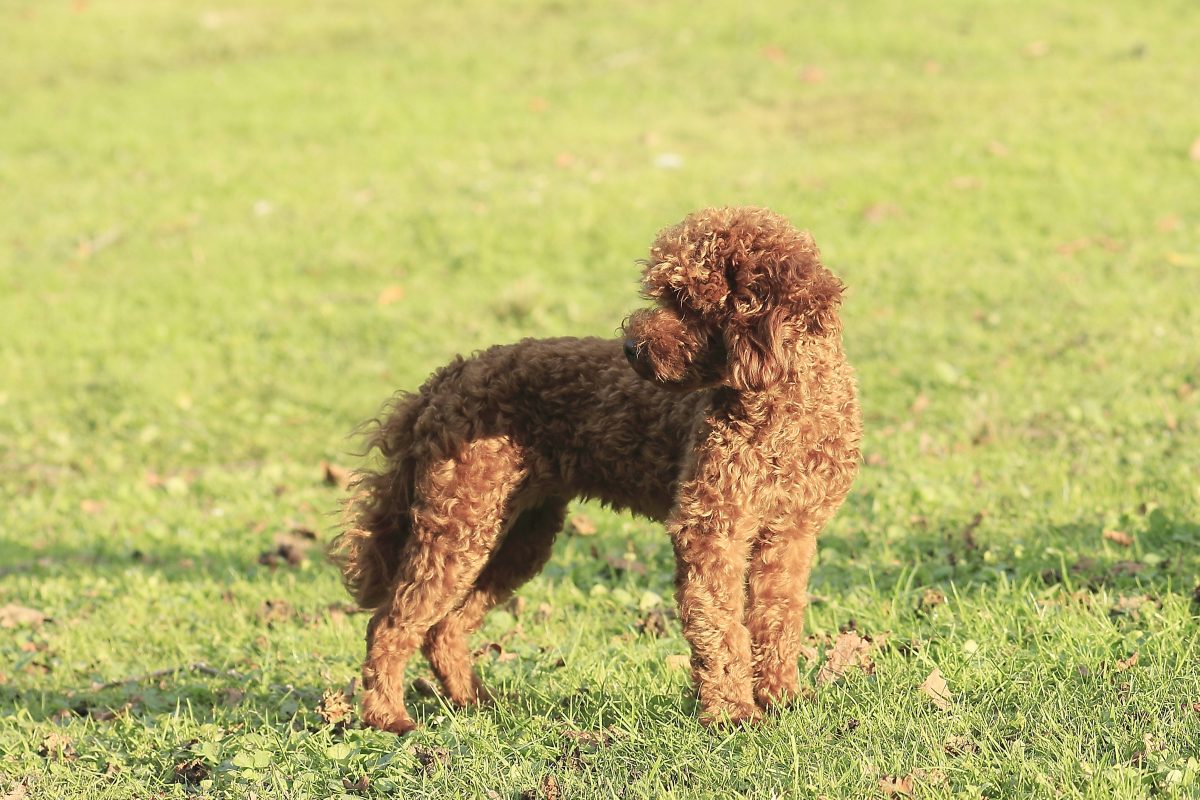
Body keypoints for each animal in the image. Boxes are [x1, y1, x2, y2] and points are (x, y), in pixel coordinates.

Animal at [328, 206, 864, 734]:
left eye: (687, 301)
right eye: (665, 293)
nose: (631, 348)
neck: (787, 407)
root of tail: (447, 377)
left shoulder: (789, 533)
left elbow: (777, 620)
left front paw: (781, 700)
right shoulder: (711, 527)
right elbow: (720, 627)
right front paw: (732, 713)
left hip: (518, 534)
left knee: (443, 627)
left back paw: (476, 703)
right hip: (459, 525)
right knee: (390, 623)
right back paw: (387, 716)